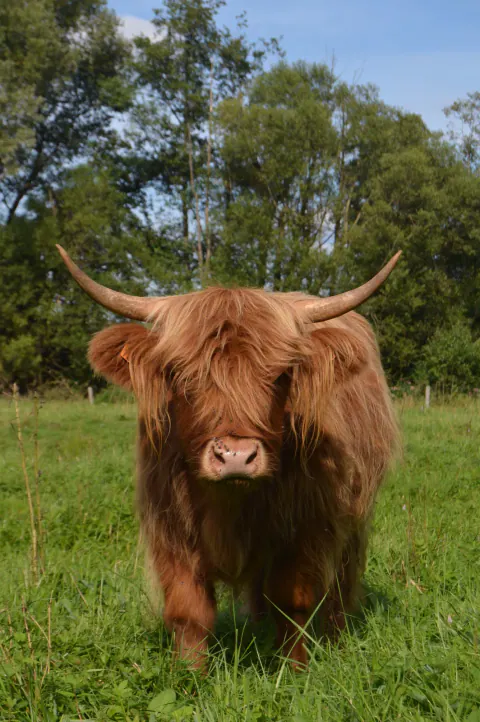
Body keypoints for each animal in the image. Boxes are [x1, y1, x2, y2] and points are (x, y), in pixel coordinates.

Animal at [57, 245, 400, 670]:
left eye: (282, 376)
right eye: (179, 374)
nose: (236, 456)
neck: (230, 505)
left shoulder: (309, 526)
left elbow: (294, 601)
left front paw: (294, 671)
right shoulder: (169, 527)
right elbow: (188, 611)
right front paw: (188, 675)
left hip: (355, 515)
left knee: (342, 582)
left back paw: (335, 638)